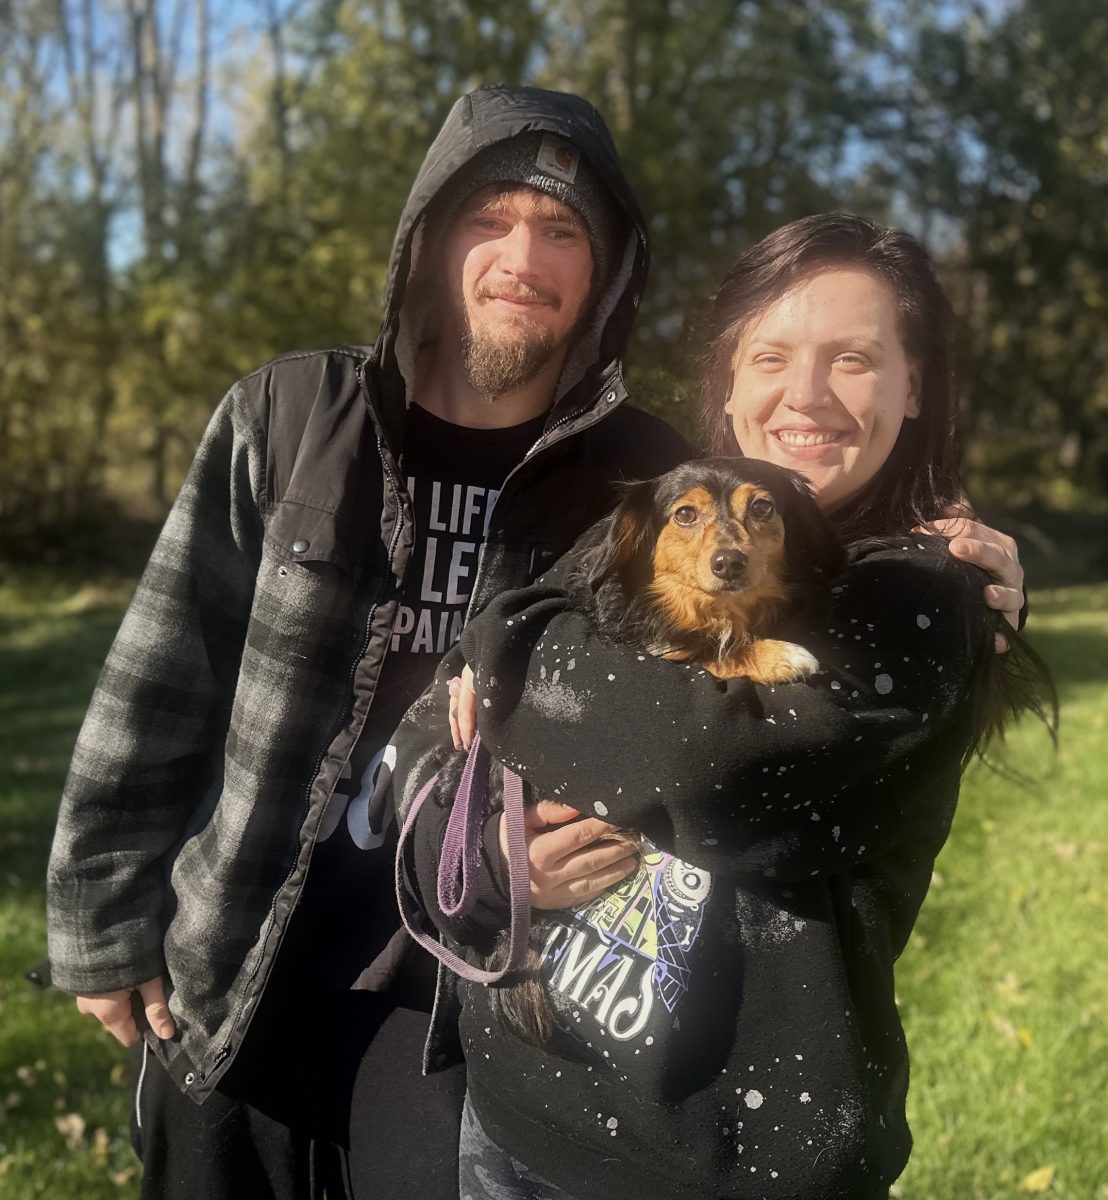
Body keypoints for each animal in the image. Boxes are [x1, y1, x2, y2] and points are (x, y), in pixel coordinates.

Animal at [451, 457, 847, 1044]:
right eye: (684, 515)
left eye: (762, 508)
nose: (729, 562)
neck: (710, 608)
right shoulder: (647, 647)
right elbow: (708, 650)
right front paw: (778, 654)